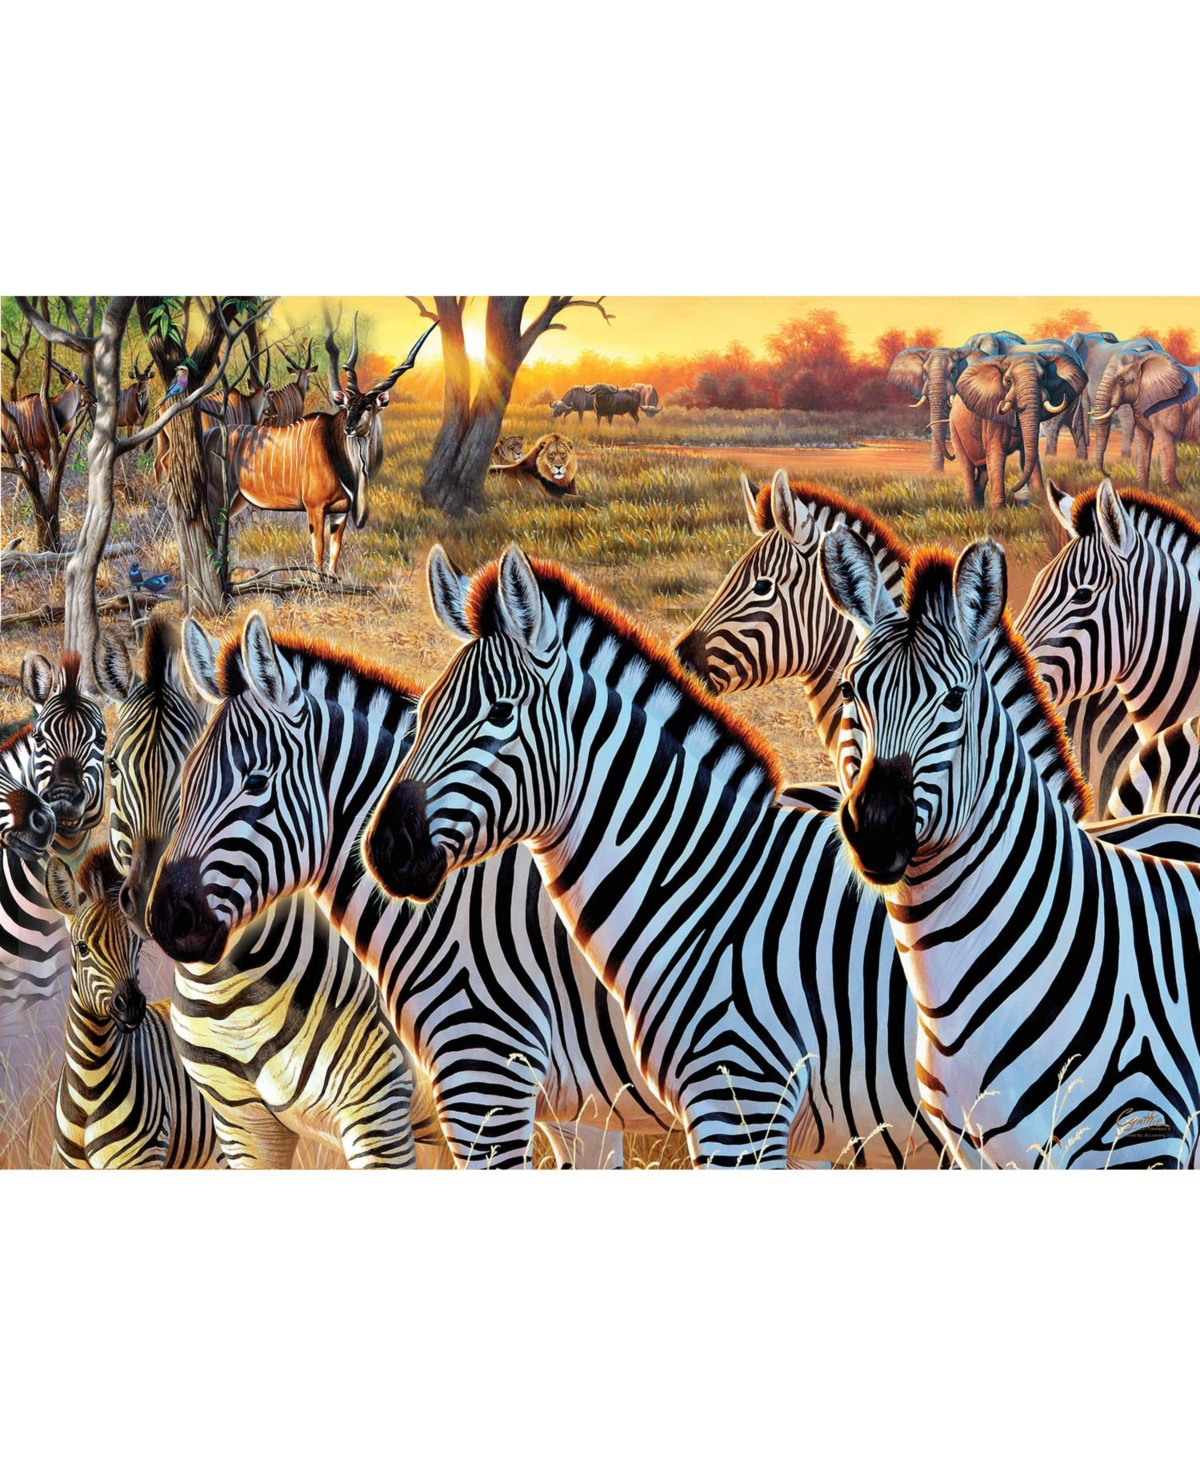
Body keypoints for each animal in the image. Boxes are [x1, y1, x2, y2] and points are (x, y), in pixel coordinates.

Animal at [95, 616, 436, 1170]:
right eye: (112, 768)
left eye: (255, 781)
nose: (155, 910)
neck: (234, 1000)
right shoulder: (242, 1125)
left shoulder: (378, 1112)